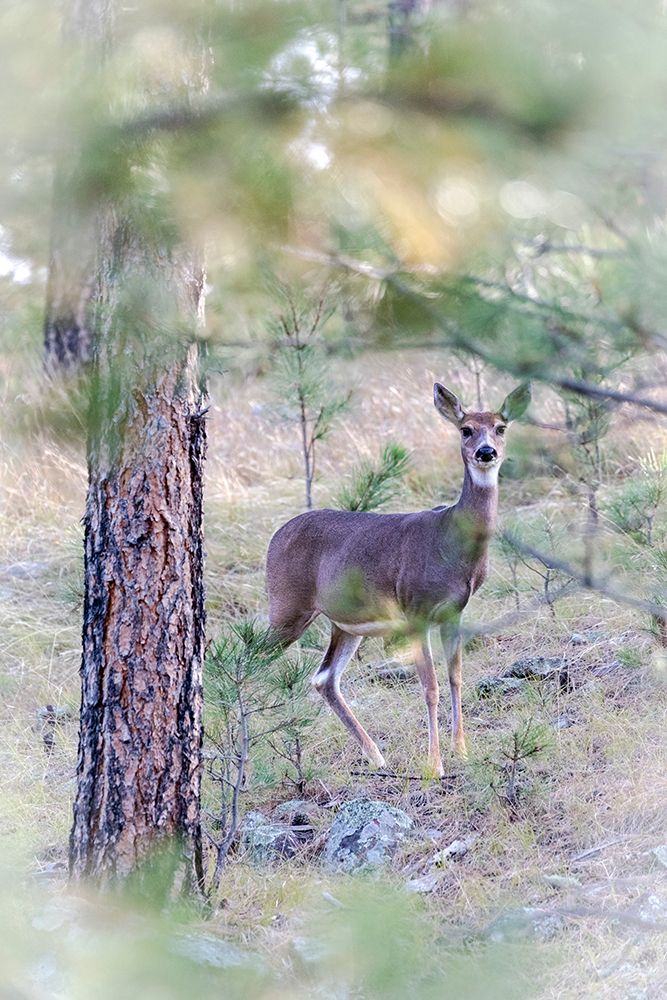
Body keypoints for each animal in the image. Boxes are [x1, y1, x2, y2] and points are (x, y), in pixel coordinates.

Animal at [266, 381, 531, 776]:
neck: (451, 543)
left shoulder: (455, 610)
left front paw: (462, 751)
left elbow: (455, 677)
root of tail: (274, 538)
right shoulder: (415, 608)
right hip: (286, 605)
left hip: (344, 623)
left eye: (501, 427)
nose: (486, 452)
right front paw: (435, 765)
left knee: (324, 677)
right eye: (465, 429)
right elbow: (430, 687)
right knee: (246, 661)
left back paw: (376, 755)